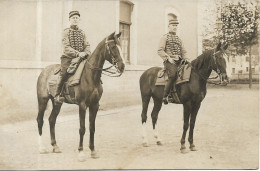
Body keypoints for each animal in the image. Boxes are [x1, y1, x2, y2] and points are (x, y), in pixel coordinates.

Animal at [36, 32, 125, 162]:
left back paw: (55, 146)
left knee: (52, 120)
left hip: (57, 102)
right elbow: (82, 128)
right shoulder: (82, 105)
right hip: (42, 101)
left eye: (121, 46)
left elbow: (92, 128)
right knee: (40, 120)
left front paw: (93, 151)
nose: (122, 66)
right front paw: (81, 152)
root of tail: (43, 71)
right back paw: (42, 148)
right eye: (113, 47)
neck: (90, 76)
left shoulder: (95, 105)